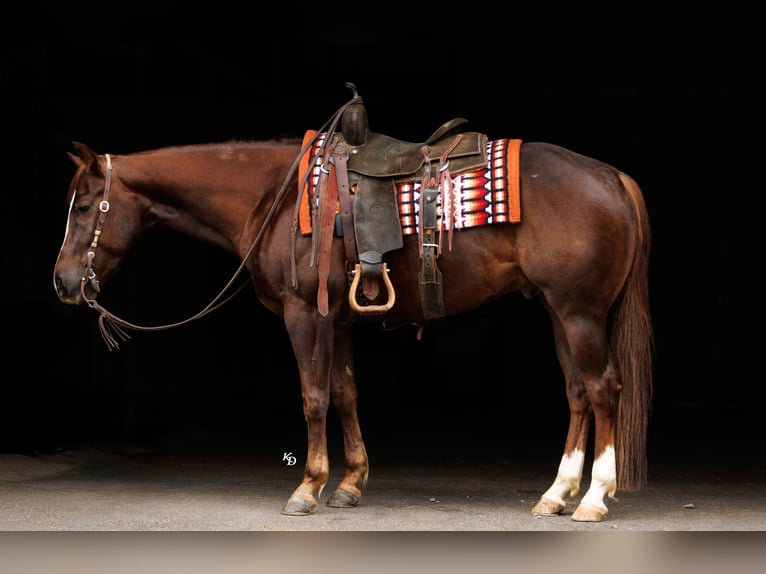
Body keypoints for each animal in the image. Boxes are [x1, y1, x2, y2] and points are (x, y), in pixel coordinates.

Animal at [53, 97, 652, 523]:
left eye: (84, 207)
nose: (62, 282)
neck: (275, 197)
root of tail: (614, 177)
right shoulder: (336, 320)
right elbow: (344, 393)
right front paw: (348, 483)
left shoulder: (304, 315)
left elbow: (314, 397)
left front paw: (307, 486)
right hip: (557, 310)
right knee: (577, 392)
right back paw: (556, 494)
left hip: (579, 311)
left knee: (603, 388)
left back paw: (593, 498)